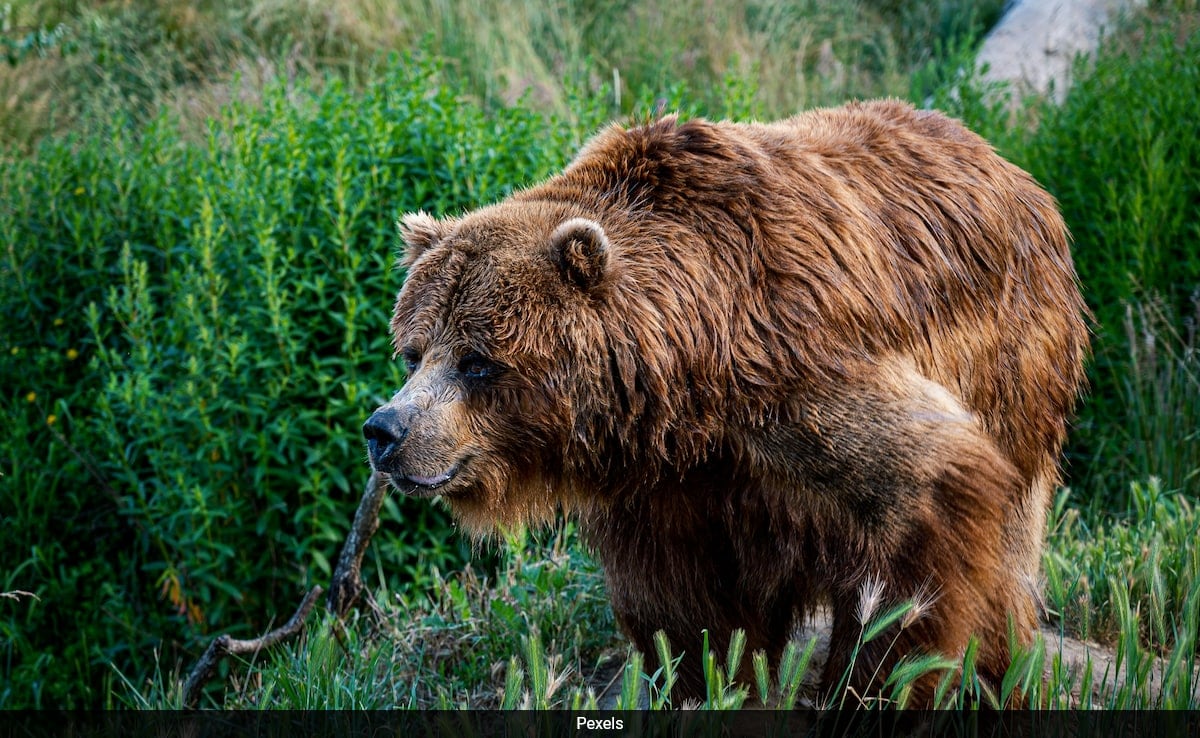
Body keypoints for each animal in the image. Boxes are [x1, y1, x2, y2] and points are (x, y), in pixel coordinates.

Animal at [362, 100, 1089, 705]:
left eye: (478, 361)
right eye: (414, 351)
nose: (386, 429)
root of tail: (1012, 169)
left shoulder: (796, 374)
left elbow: (926, 497)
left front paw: (870, 689)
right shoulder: (670, 490)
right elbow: (689, 619)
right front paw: (710, 684)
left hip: (1015, 364)